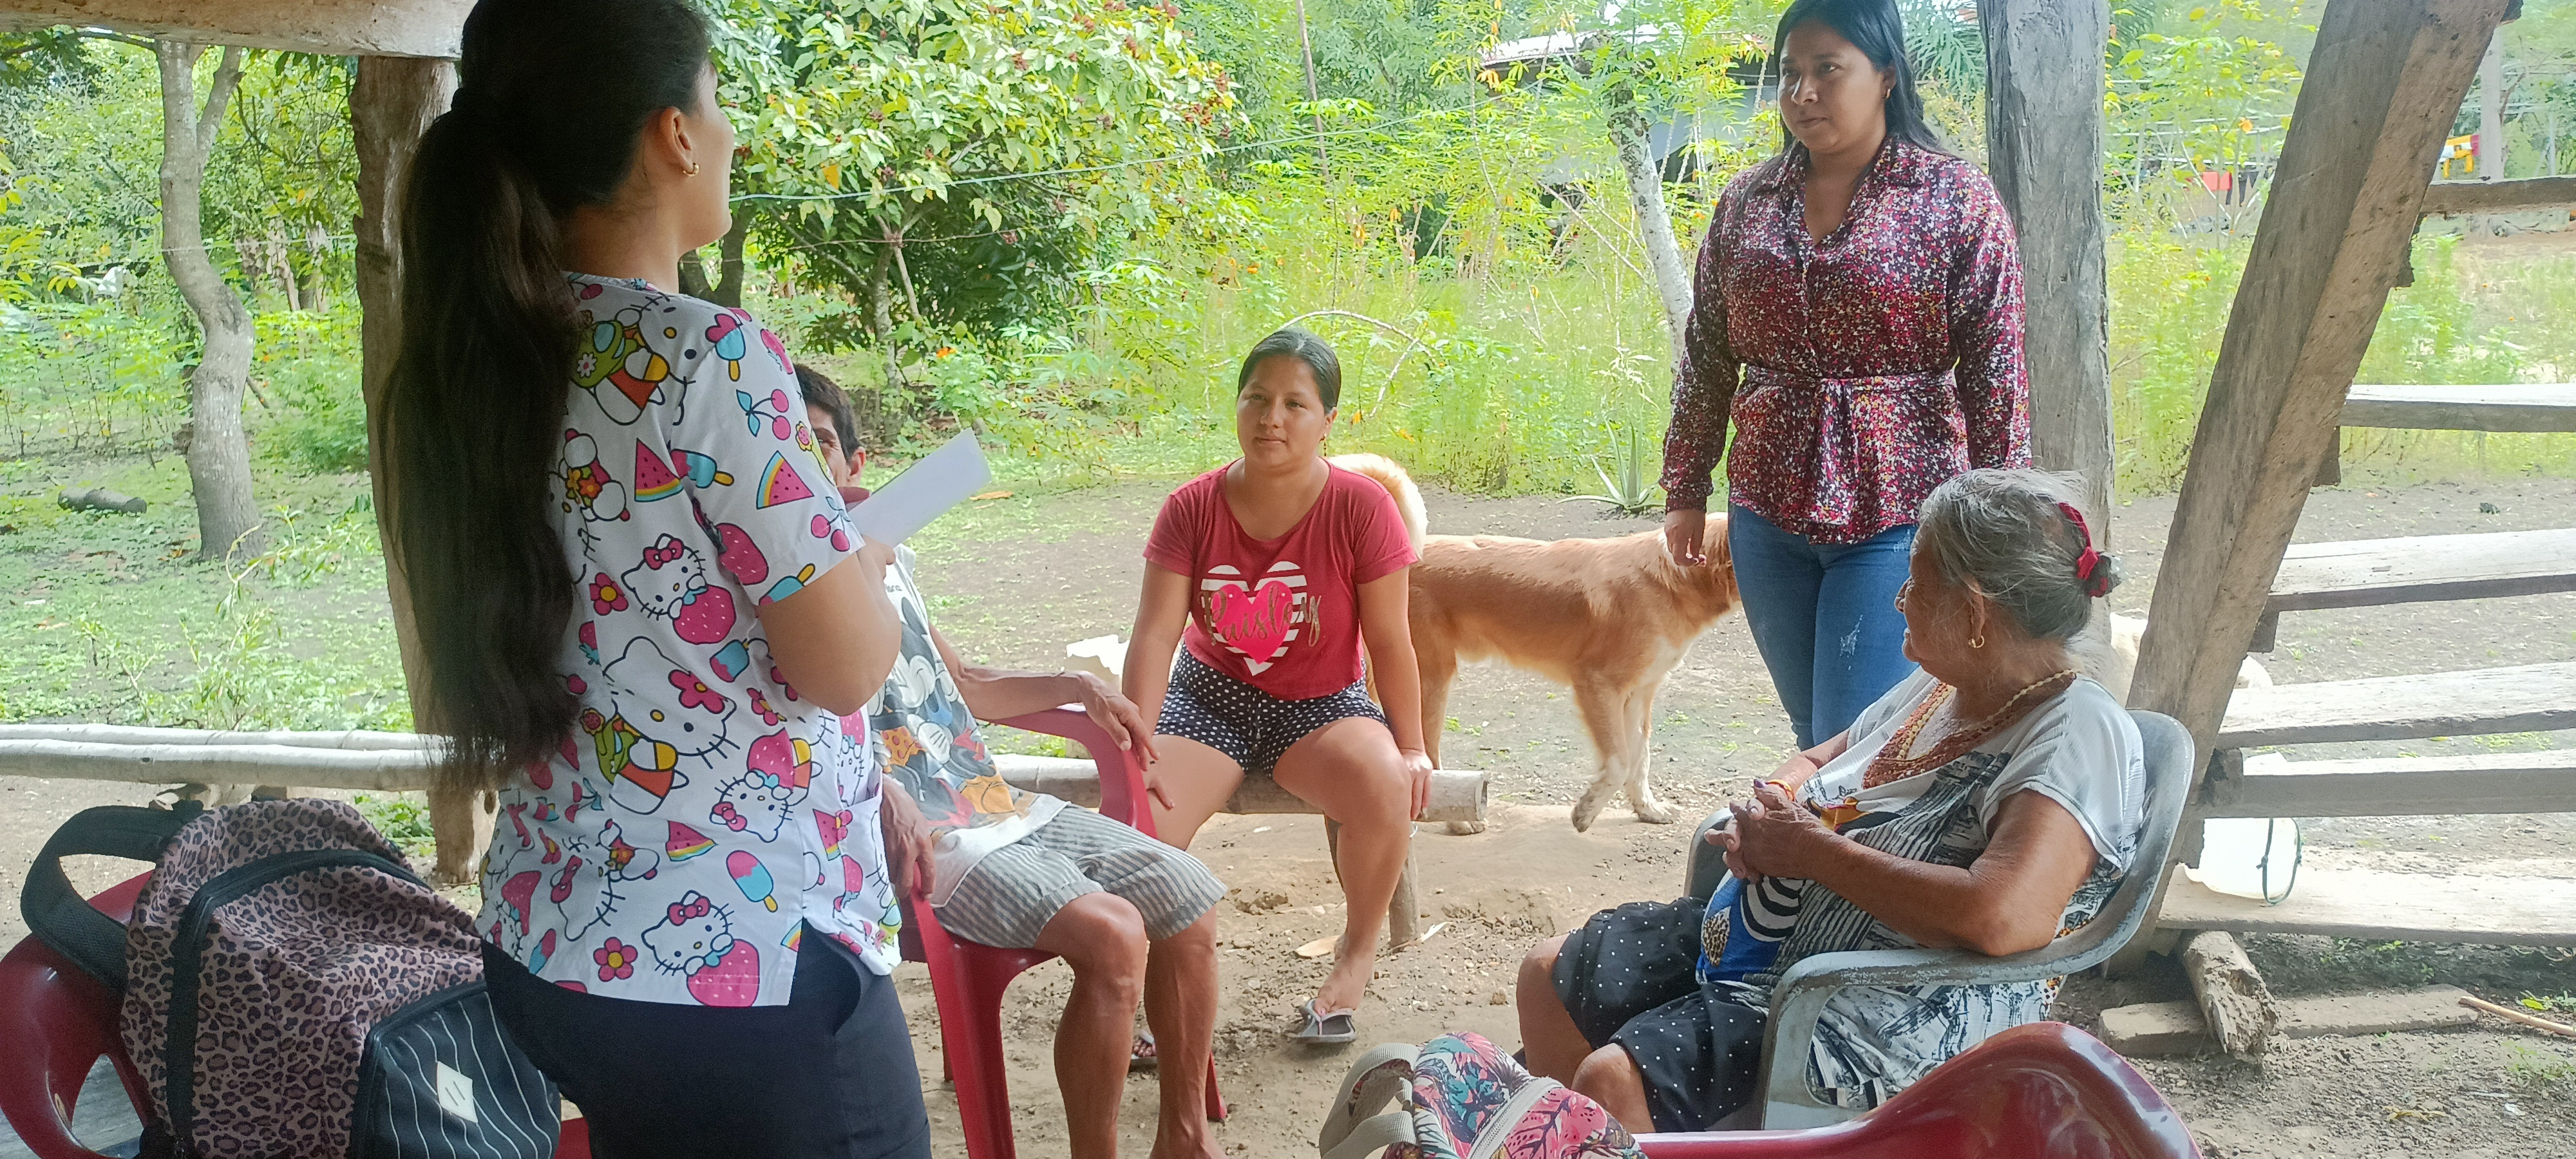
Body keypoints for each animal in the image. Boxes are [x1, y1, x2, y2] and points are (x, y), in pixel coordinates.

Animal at [1331, 455, 1741, 834]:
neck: (1670, 577)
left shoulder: (1640, 693)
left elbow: (1640, 760)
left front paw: (1647, 809)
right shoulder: (1597, 684)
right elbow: (1619, 761)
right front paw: (1586, 811)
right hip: (1428, 679)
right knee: (1426, 757)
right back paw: (1457, 821)